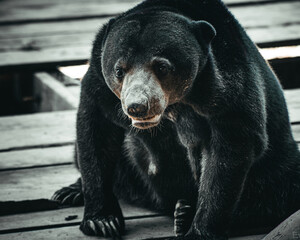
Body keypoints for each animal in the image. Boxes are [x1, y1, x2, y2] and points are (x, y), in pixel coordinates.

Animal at [51, 0, 300, 238]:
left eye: (162, 67)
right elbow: (96, 133)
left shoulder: (228, 85)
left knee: (278, 191)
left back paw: (184, 213)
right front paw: (102, 221)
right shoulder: (99, 83)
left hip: (277, 165)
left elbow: (229, 149)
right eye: (119, 70)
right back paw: (69, 192)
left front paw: (198, 230)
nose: (137, 107)